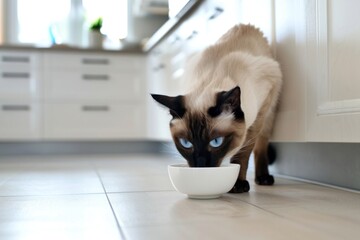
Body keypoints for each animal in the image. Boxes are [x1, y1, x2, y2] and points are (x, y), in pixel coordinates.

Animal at [150, 24, 282, 193]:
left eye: (216, 142)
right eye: (186, 143)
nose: (200, 165)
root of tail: (245, 25)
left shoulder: (261, 110)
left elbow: (243, 154)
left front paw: (237, 184)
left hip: (269, 111)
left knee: (262, 143)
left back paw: (263, 178)